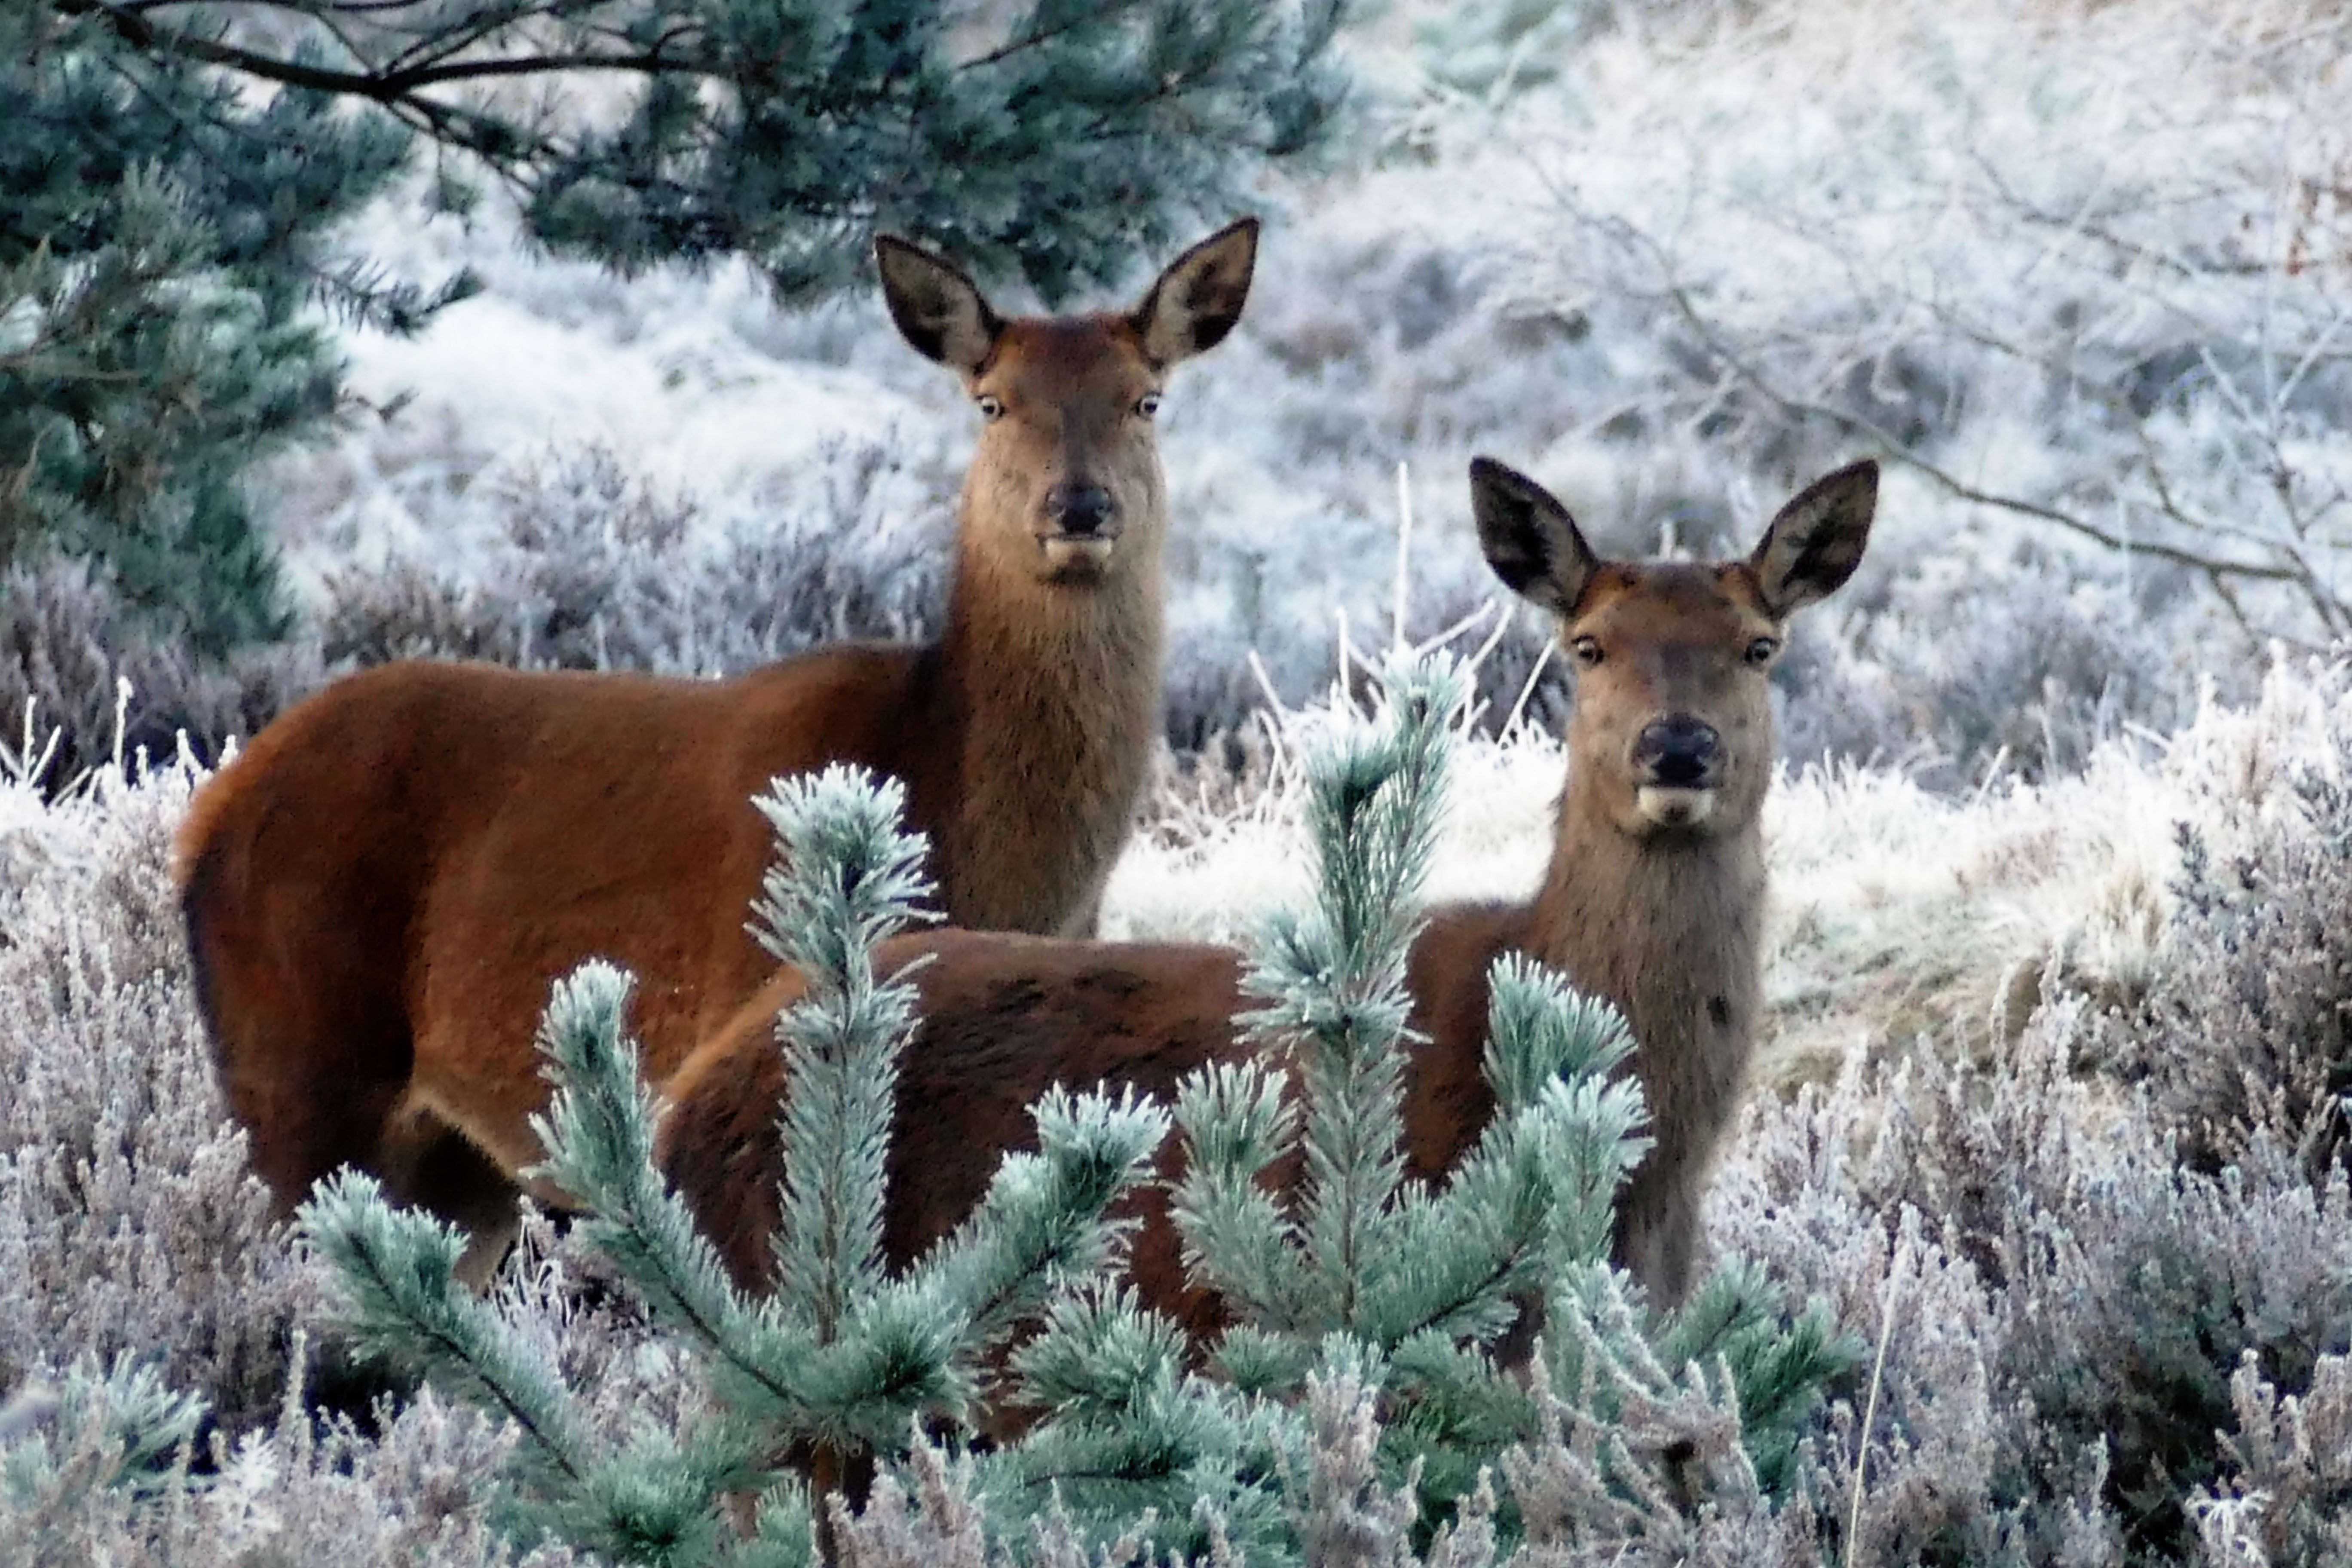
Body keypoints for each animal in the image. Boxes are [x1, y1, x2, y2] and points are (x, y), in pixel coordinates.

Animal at [178, 215, 1270, 1269]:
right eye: (994, 403)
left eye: (1146, 401)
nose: (1078, 506)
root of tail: (206, 817)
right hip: (298, 1064)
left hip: (456, 1164)